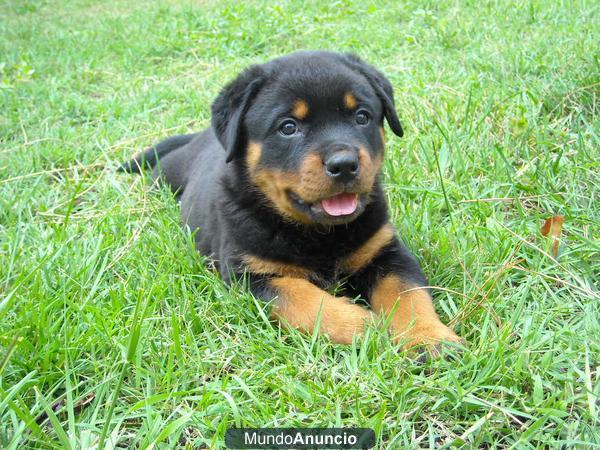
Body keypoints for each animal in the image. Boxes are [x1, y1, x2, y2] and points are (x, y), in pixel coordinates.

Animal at [119, 50, 462, 352]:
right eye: (288, 127)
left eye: (362, 117)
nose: (344, 164)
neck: (321, 234)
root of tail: (199, 135)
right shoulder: (248, 274)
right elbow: (301, 297)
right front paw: (362, 325)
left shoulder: (385, 251)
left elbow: (408, 294)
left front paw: (429, 338)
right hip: (165, 175)